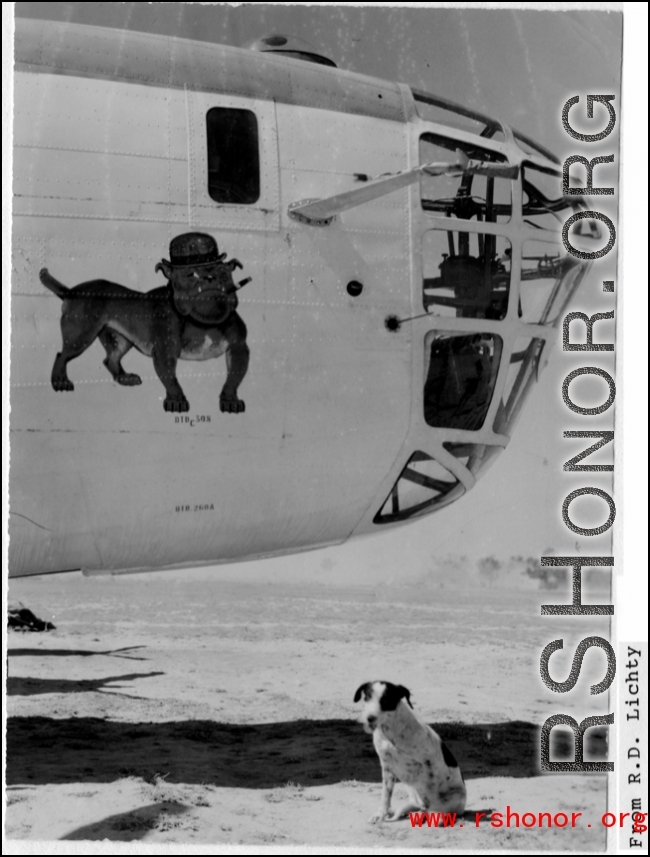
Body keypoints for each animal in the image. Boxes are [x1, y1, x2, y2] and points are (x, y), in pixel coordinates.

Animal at [39, 231, 248, 412]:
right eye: (190, 274)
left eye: (223, 272)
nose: (209, 278)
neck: (202, 322)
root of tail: (71, 291)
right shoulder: (165, 351)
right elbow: (171, 379)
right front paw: (176, 400)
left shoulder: (238, 347)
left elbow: (233, 377)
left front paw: (230, 400)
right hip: (80, 336)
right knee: (62, 355)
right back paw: (60, 381)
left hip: (120, 341)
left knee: (110, 359)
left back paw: (125, 378)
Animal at [352, 684, 464, 824]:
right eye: (367, 697)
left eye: (386, 700)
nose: (370, 717)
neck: (390, 732)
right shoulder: (387, 765)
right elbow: (385, 795)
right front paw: (381, 814)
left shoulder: (429, 761)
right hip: (410, 788)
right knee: (418, 806)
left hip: (454, 797)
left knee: (433, 807)